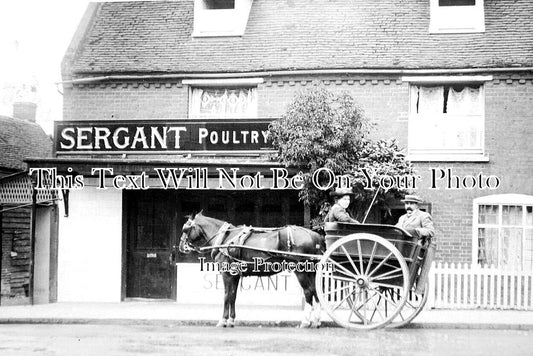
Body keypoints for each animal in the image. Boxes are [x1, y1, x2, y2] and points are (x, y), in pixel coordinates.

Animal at [179, 211, 324, 328]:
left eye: (185, 229)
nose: (181, 246)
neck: (225, 239)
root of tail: (314, 235)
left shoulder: (226, 274)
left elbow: (226, 296)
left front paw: (223, 320)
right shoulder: (235, 275)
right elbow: (233, 296)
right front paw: (231, 320)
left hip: (300, 270)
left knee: (308, 291)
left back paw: (305, 321)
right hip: (311, 271)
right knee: (315, 290)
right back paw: (316, 321)